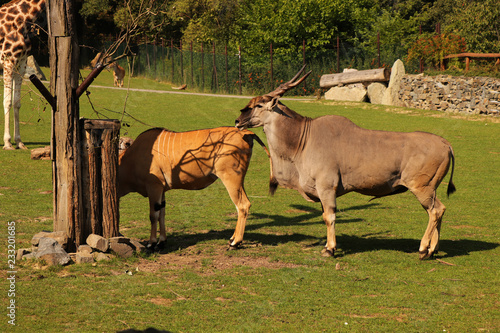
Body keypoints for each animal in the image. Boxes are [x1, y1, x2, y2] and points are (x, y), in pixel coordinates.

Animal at [0, 0, 45, 149]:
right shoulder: (8, 61)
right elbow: (7, 101)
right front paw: (8, 142)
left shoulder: (21, 64)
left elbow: (17, 102)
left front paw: (19, 142)